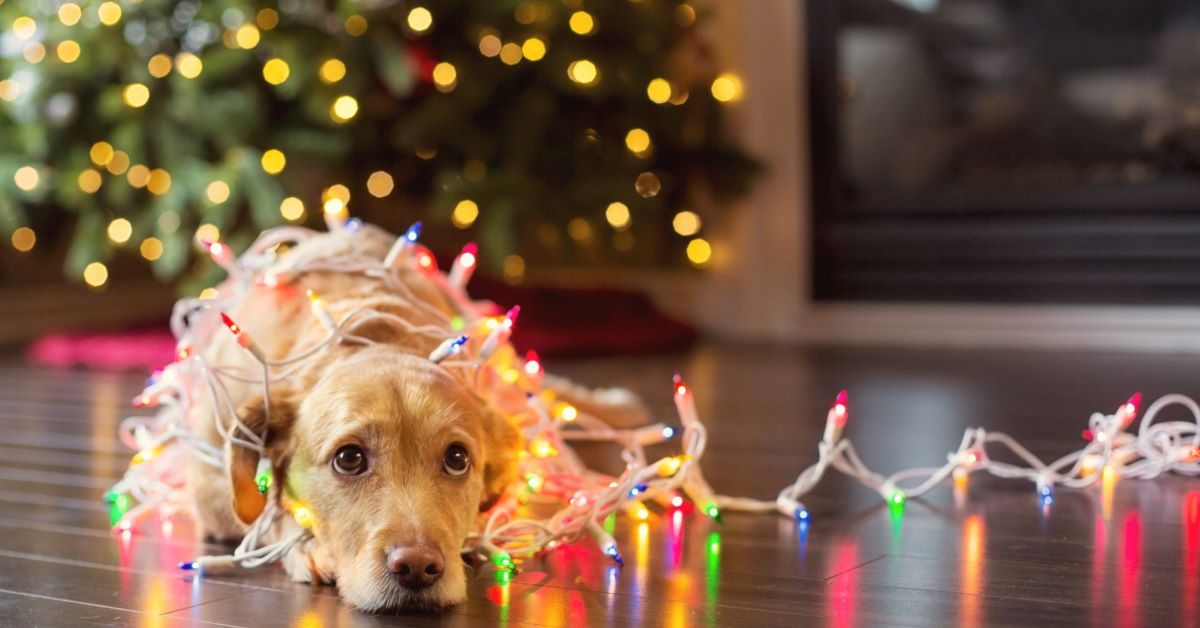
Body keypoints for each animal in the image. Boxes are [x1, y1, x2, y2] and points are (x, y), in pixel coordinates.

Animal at [187, 228, 652, 612]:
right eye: (349, 458)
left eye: (458, 459)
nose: (417, 567)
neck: (369, 336)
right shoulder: (207, 483)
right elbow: (265, 511)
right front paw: (304, 544)